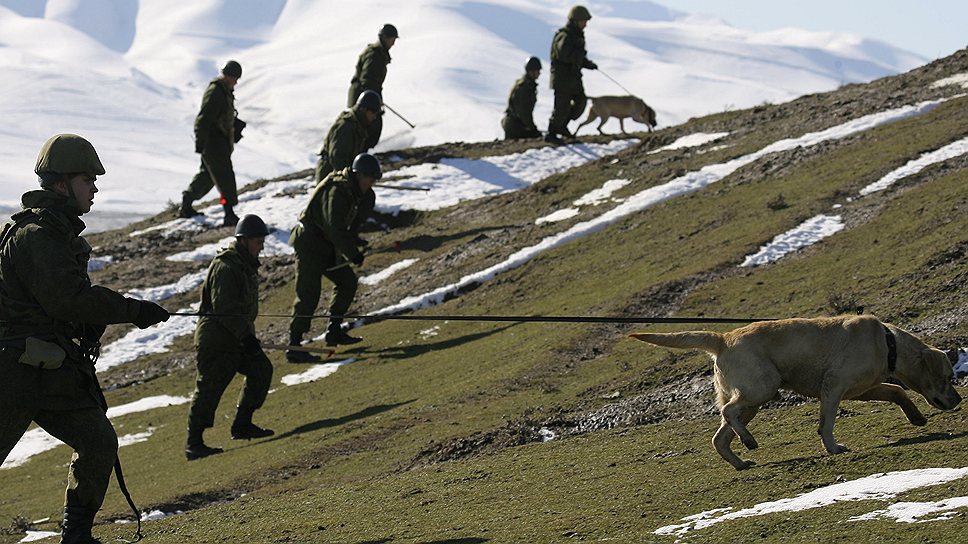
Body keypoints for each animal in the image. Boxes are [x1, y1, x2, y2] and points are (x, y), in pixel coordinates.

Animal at [628, 316, 960, 470]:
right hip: (763, 388)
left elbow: (896, 391)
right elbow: (826, 423)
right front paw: (833, 447)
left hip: (751, 400)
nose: (958, 401)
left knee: (719, 436)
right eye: (947, 376)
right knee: (728, 411)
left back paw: (740, 461)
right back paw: (748, 441)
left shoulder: (863, 389)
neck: (888, 344)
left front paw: (916, 417)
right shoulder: (833, 386)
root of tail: (723, 338)